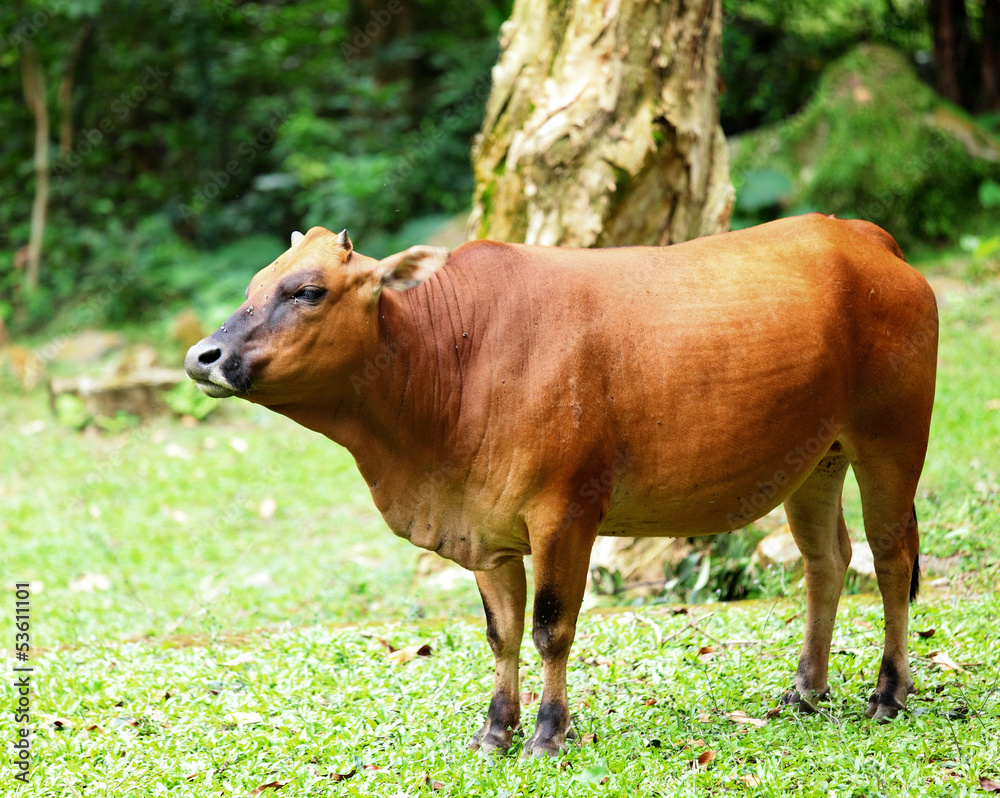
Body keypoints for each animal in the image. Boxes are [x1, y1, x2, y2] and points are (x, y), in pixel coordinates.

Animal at [185, 214, 938, 757]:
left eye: (308, 290)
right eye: (256, 284)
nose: (202, 356)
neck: (451, 361)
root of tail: (865, 236)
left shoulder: (565, 513)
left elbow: (552, 628)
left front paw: (548, 733)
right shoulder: (486, 531)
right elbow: (502, 633)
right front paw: (496, 730)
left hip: (889, 440)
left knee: (891, 558)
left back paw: (889, 693)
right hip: (817, 459)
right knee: (826, 561)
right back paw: (806, 689)